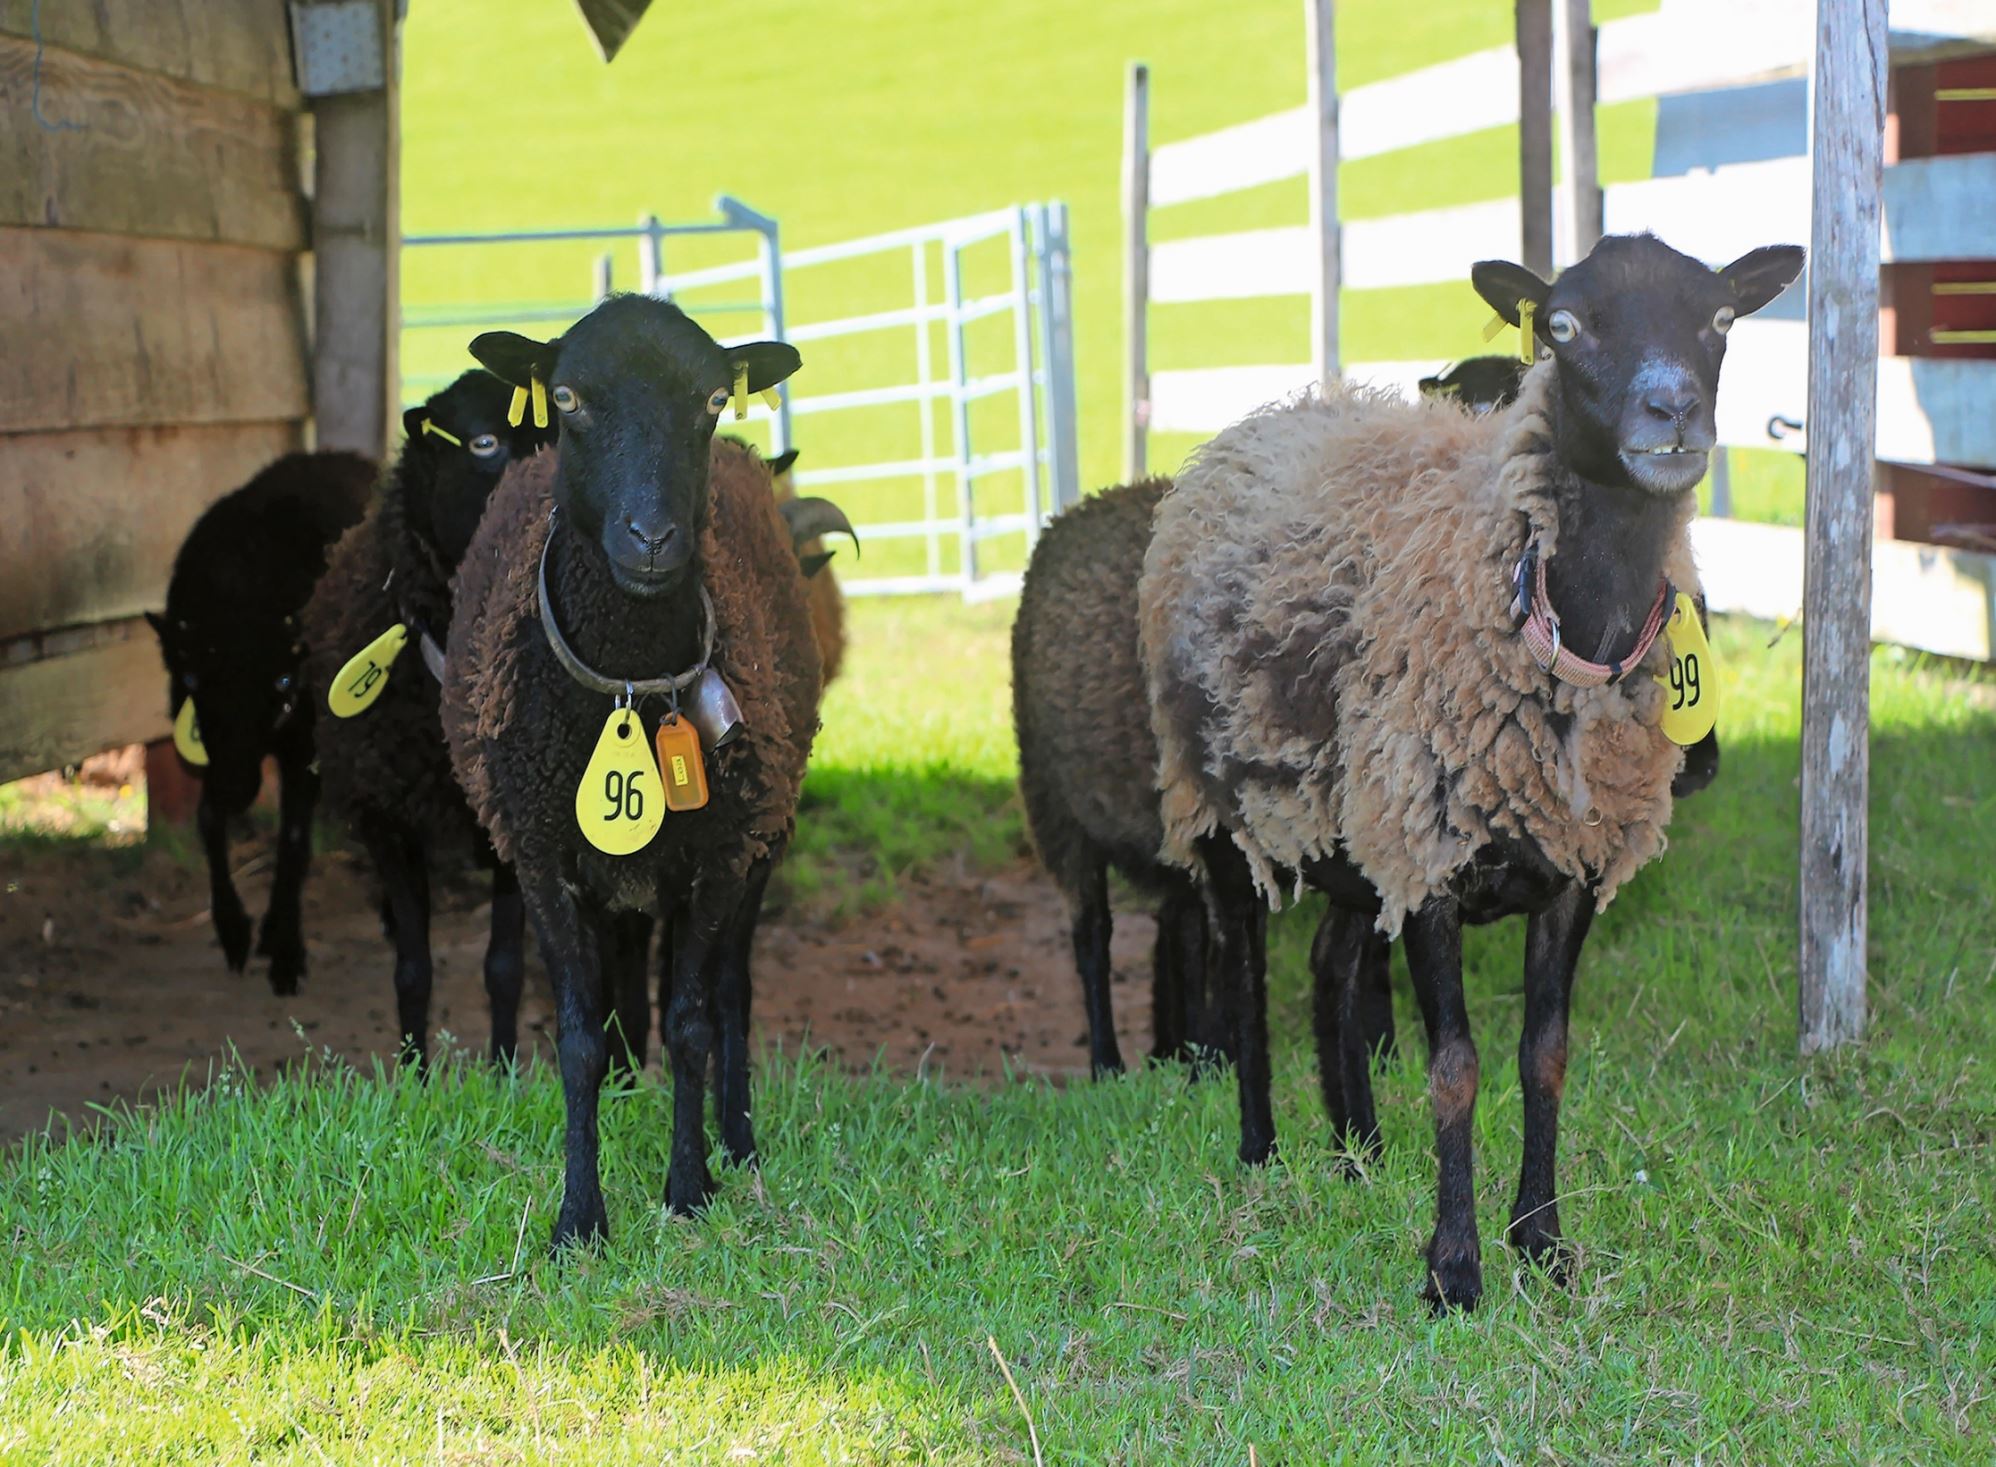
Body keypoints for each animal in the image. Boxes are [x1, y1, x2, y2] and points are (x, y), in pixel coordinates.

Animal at [148, 453, 377, 993]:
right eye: (191, 678)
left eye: (282, 681)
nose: (236, 790)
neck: (240, 591)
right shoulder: (214, 756)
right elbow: (208, 821)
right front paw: (232, 928)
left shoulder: (303, 747)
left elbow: (293, 840)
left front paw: (286, 948)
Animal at [301, 373, 554, 1069]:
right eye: (483, 442)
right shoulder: (386, 817)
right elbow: (411, 970)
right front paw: (413, 1074)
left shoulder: (510, 824)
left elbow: (504, 967)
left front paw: (503, 1071)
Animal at [447, 299, 826, 1253]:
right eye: (568, 398)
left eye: (710, 402)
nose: (653, 538)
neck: (625, 679)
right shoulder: (540, 855)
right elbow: (578, 1038)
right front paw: (580, 1215)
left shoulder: (720, 855)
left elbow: (692, 1023)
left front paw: (687, 1187)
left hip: (762, 835)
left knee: (729, 993)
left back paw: (736, 1139)